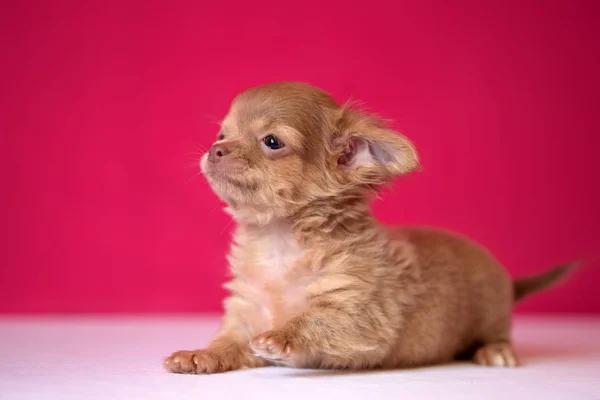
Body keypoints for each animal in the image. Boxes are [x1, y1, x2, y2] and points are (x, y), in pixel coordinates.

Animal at [163, 83, 572, 374]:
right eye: (221, 135)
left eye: (272, 142)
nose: (215, 150)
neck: (278, 239)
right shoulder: (245, 311)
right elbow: (228, 342)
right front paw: (202, 354)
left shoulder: (359, 315)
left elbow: (315, 319)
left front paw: (284, 334)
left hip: (491, 315)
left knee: (497, 334)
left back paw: (496, 350)